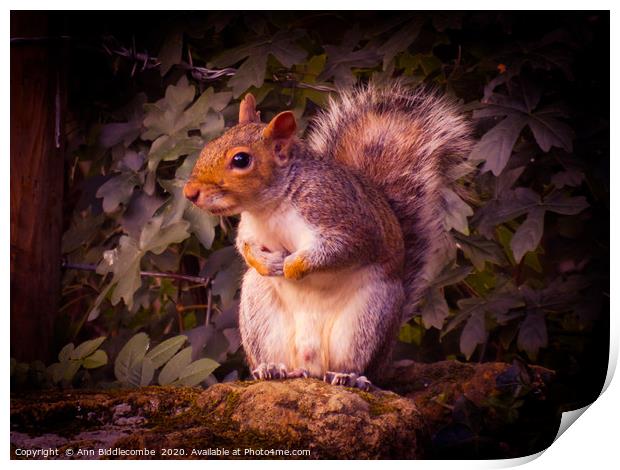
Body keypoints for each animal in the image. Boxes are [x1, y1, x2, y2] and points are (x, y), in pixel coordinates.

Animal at [186, 81, 472, 390]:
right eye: (209, 145)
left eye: (241, 159)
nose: (189, 193)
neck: (269, 207)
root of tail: (310, 365)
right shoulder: (250, 229)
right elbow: (245, 246)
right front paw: (266, 263)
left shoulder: (342, 217)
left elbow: (340, 248)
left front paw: (292, 265)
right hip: (259, 311)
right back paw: (272, 369)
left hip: (368, 316)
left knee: (359, 365)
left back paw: (349, 377)